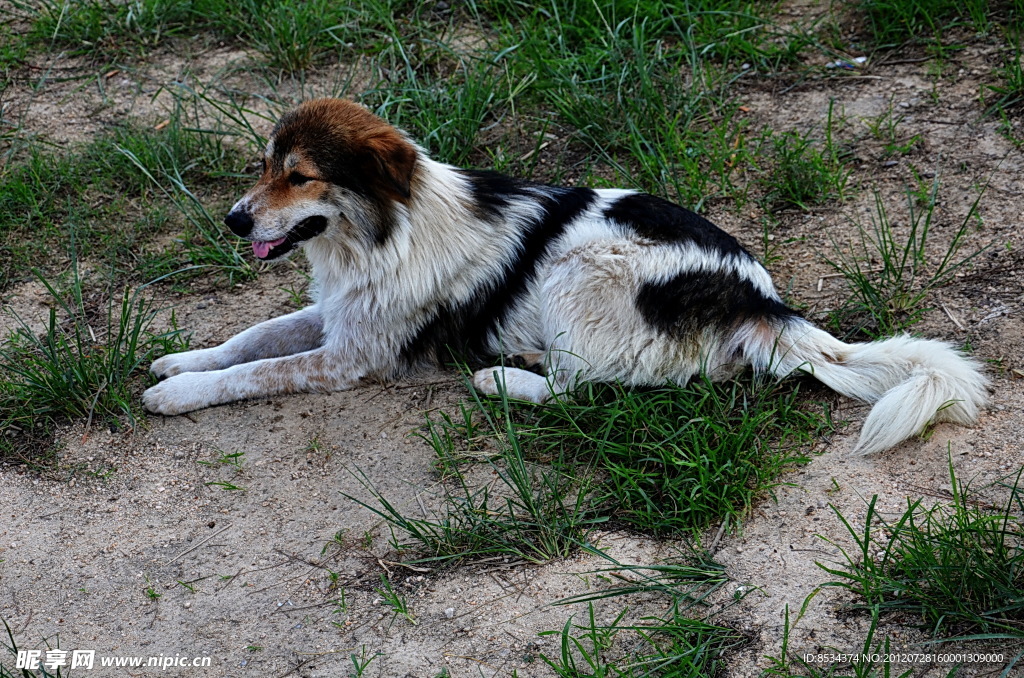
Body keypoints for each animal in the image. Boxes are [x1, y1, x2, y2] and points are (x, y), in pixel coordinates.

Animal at [140, 96, 987, 456]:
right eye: (264, 167)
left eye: (300, 176)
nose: (233, 220)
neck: (383, 232)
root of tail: (756, 298)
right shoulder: (346, 315)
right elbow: (251, 338)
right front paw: (180, 360)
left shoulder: (353, 357)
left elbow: (254, 373)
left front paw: (177, 395)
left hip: (579, 270)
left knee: (599, 390)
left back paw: (503, 378)